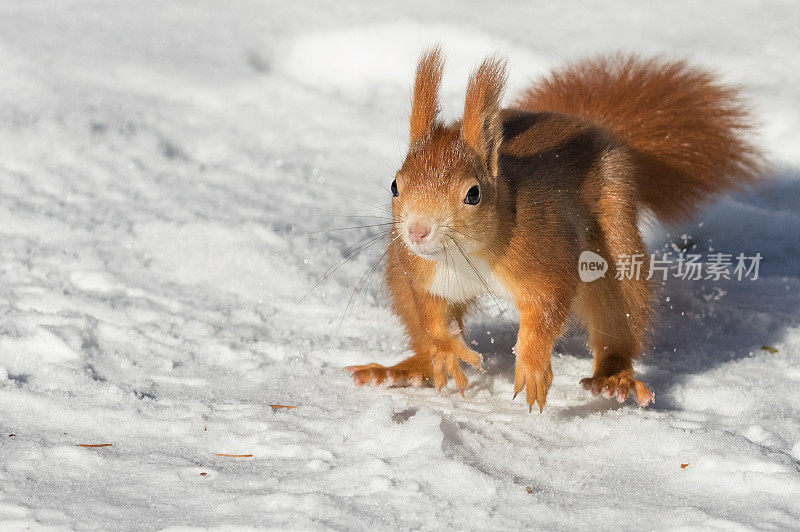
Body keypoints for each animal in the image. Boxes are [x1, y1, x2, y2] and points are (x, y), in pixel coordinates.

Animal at [344, 47, 764, 412]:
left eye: (473, 194)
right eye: (395, 185)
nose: (417, 231)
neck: (467, 255)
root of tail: (587, 124)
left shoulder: (544, 252)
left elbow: (548, 306)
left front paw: (531, 363)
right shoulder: (422, 272)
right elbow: (430, 312)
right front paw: (446, 350)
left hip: (613, 246)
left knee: (618, 315)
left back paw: (615, 378)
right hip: (396, 272)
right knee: (417, 330)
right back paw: (407, 369)